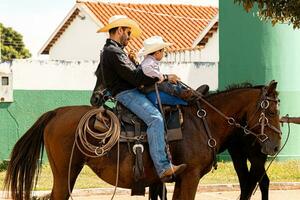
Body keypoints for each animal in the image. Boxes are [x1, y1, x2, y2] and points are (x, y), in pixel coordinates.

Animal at [4, 80, 282, 199]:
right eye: (270, 111)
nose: (275, 145)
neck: (203, 122)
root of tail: (56, 112)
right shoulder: (190, 177)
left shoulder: (180, 180)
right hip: (65, 172)